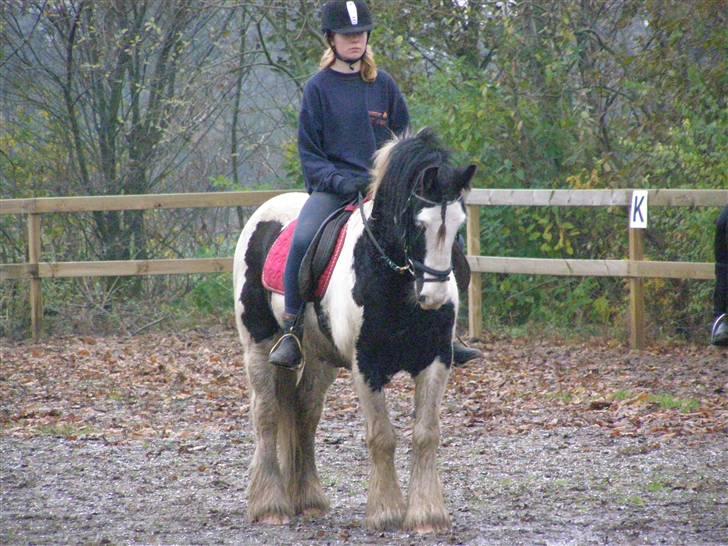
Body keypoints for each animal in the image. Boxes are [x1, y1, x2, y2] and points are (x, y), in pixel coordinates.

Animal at [230, 129, 474, 532]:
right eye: (418, 225)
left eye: (458, 225)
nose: (435, 297)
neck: (392, 279)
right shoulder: (366, 366)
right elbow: (382, 437)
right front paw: (386, 512)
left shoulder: (436, 361)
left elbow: (426, 434)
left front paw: (427, 515)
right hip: (258, 346)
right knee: (266, 415)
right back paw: (270, 506)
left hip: (319, 357)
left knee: (304, 411)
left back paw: (308, 500)